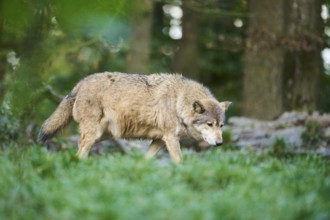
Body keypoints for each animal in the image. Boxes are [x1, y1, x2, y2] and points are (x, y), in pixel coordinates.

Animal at [38, 72, 231, 163]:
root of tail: (81, 82)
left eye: (221, 125)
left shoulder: (160, 140)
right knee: (79, 154)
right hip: (94, 135)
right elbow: (179, 162)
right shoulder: (171, 138)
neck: (179, 100)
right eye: (210, 124)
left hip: (103, 135)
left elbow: (146, 161)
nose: (220, 143)